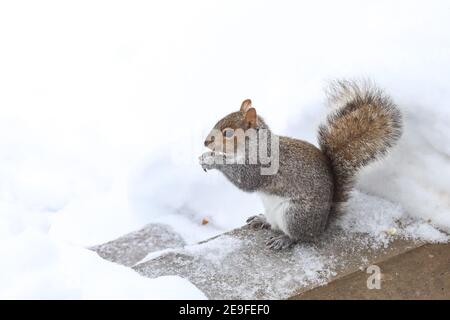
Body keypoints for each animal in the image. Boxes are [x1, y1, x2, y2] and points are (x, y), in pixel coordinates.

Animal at [199, 80, 402, 250]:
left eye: (228, 133)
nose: (206, 142)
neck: (256, 144)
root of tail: (321, 225)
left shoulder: (261, 167)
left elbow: (244, 180)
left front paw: (212, 159)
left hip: (294, 215)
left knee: (300, 236)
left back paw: (285, 239)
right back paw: (262, 219)